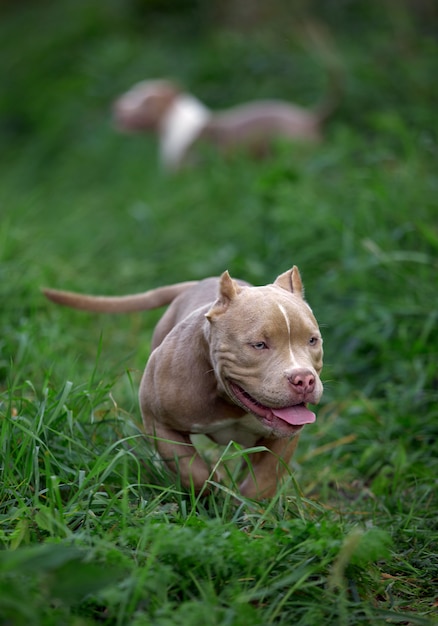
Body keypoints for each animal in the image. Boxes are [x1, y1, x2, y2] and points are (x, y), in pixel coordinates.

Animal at [43, 266, 322, 500]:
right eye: (259, 345)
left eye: (312, 340)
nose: (304, 379)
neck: (227, 399)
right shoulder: (159, 423)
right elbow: (192, 470)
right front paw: (213, 487)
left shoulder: (284, 437)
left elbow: (264, 477)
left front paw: (247, 506)